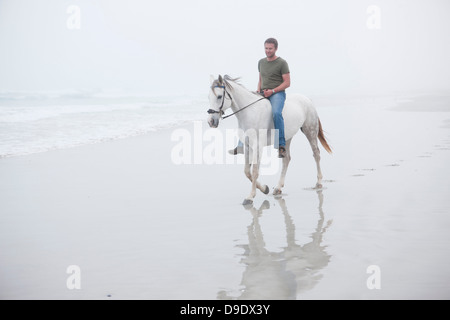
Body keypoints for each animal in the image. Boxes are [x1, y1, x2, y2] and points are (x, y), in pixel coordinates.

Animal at [207, 75, 330, 205]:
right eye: (209, 97)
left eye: (219, 96)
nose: (211, 121)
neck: (250, 112)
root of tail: (307, 100)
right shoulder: (247, 145)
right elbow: (247, 171)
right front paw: (264, 188)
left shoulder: (257, 146)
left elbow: (255, 171)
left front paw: (250, 196)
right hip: (287, 137)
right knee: (286, 159)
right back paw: (278, 188)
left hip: (310, 131)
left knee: (316, 154)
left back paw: (319, 183)